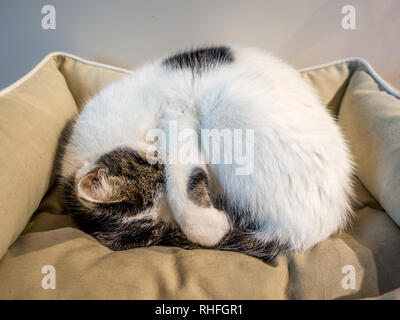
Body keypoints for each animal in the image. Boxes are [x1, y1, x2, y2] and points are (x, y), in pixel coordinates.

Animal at [58, 45, 354, 262]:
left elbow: (184, 184)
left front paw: (212, 226)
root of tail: (304, 232)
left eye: (158, 169)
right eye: (160, 232)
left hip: (225, 102)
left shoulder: (176, 113)